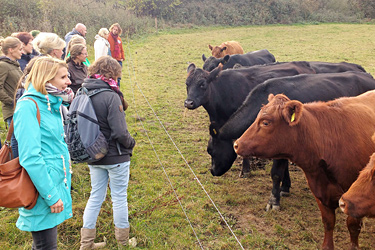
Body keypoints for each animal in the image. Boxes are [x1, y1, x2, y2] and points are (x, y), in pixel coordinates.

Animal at [234, 91, 375, 249]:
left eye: (265, 122)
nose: (236, 144)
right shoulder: (319, 192)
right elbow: (328, 222)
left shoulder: (355, 197)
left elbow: (353, 226)